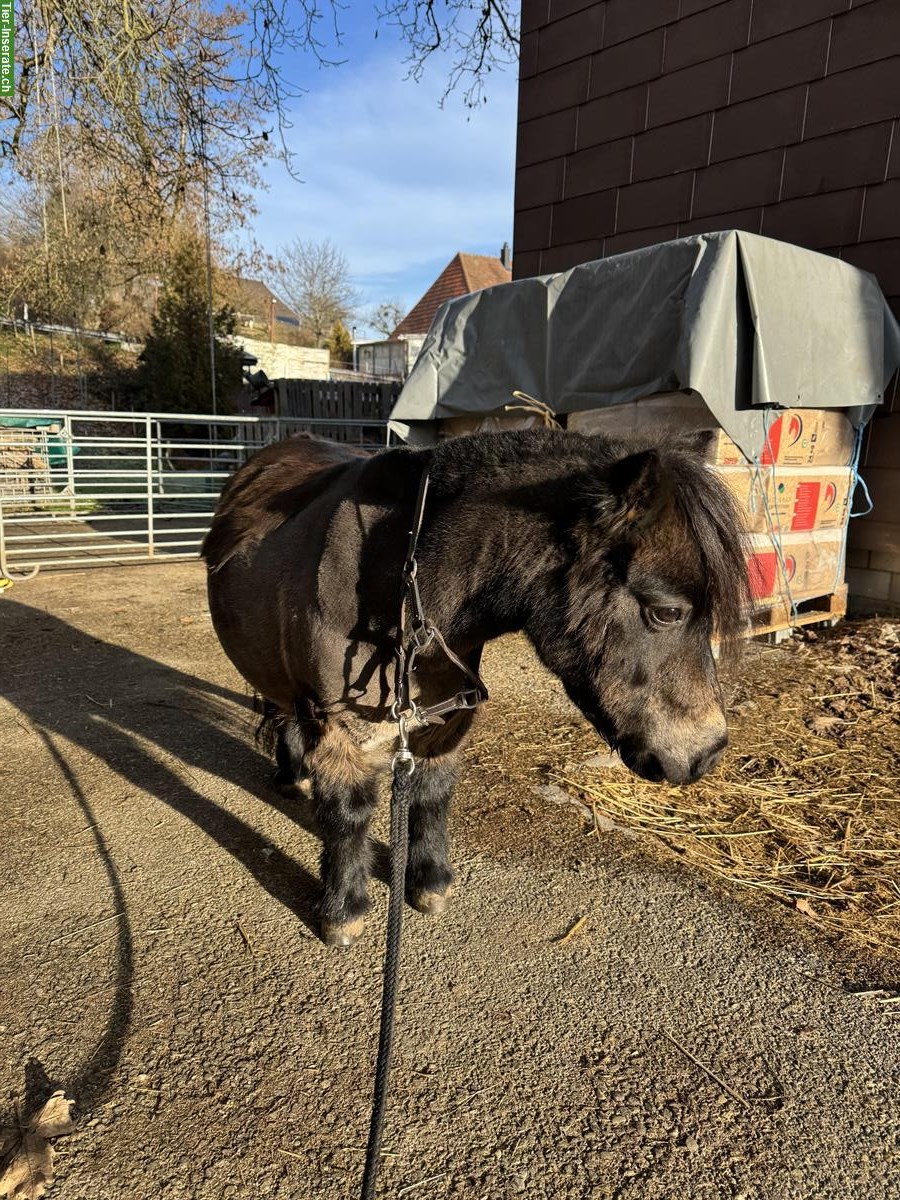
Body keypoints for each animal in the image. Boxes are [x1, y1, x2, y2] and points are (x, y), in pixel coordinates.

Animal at [202, 432, 748, 945]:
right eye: (667, 612)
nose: (708, 754)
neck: (395, 585)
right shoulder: (338, 727)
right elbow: (348, 812)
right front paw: (344, 909)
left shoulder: (444, 719)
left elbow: (433, 793)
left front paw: (429, 882)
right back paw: (292, 774)